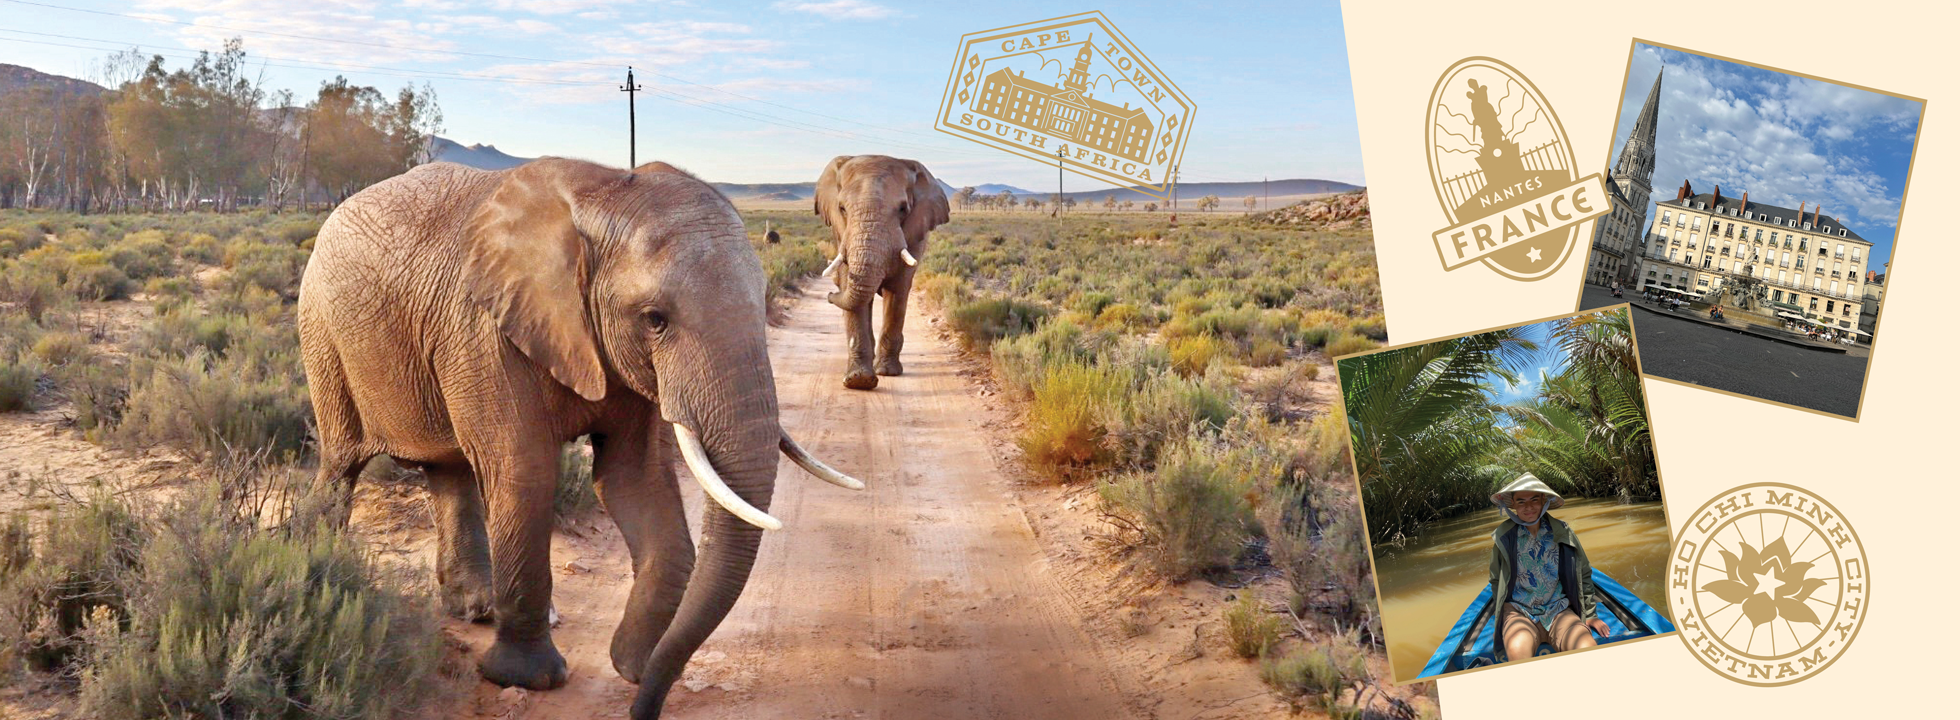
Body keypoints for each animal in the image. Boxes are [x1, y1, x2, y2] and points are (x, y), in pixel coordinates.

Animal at [297, 157, 866, 720]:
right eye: (655, 320)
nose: (641, 709)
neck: (602, 195)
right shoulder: (485, 330)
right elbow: (524, 473)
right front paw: (529, 678)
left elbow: (635, 479)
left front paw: (636, 664)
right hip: (322, 334)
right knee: (342, 462)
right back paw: (325, 575)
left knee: (449, 470)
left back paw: (476, 610)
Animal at [811, 155, 948, 392]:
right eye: (842, 208)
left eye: (903, 209)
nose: (829, 295)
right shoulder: (842, 234)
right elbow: (852, 289)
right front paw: (859, 381)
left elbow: (897, 292)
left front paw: (887, 372)